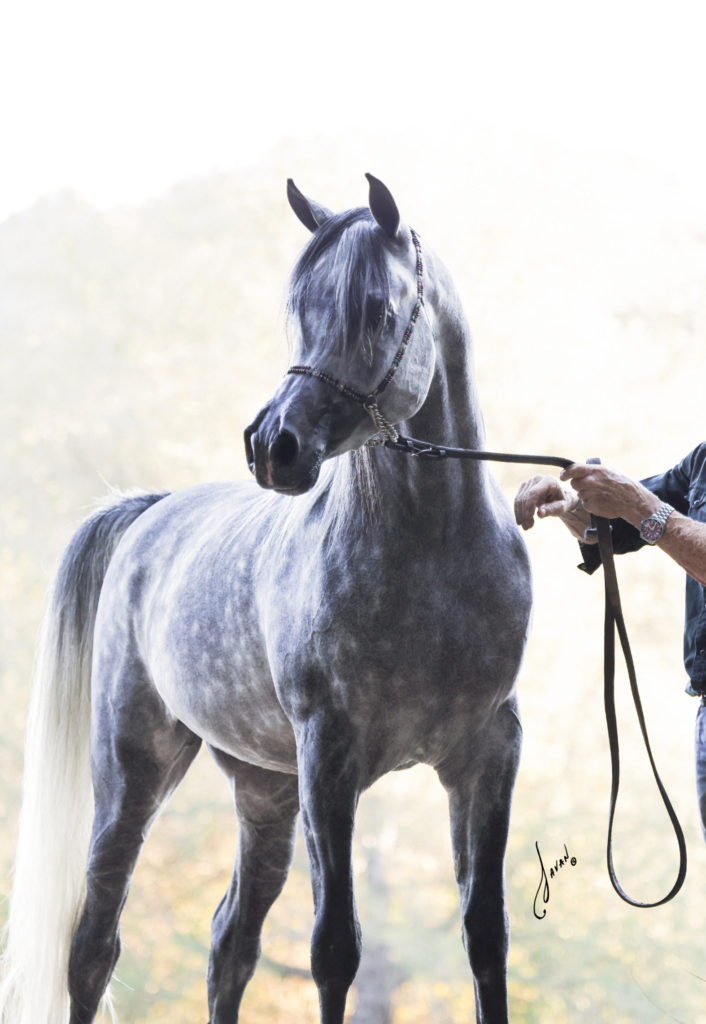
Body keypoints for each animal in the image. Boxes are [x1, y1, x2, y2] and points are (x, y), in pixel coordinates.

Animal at [0, 176, 528, 1024]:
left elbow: (485, 939)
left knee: (230, 943)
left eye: (377, 309)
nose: (271, 446)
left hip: (264, 791)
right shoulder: (330, 760)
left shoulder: (487, 757)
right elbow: (335, 948)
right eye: (299, 309)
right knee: (93, 947)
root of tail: (151, 513)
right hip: (133, 773)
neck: (434, 561)